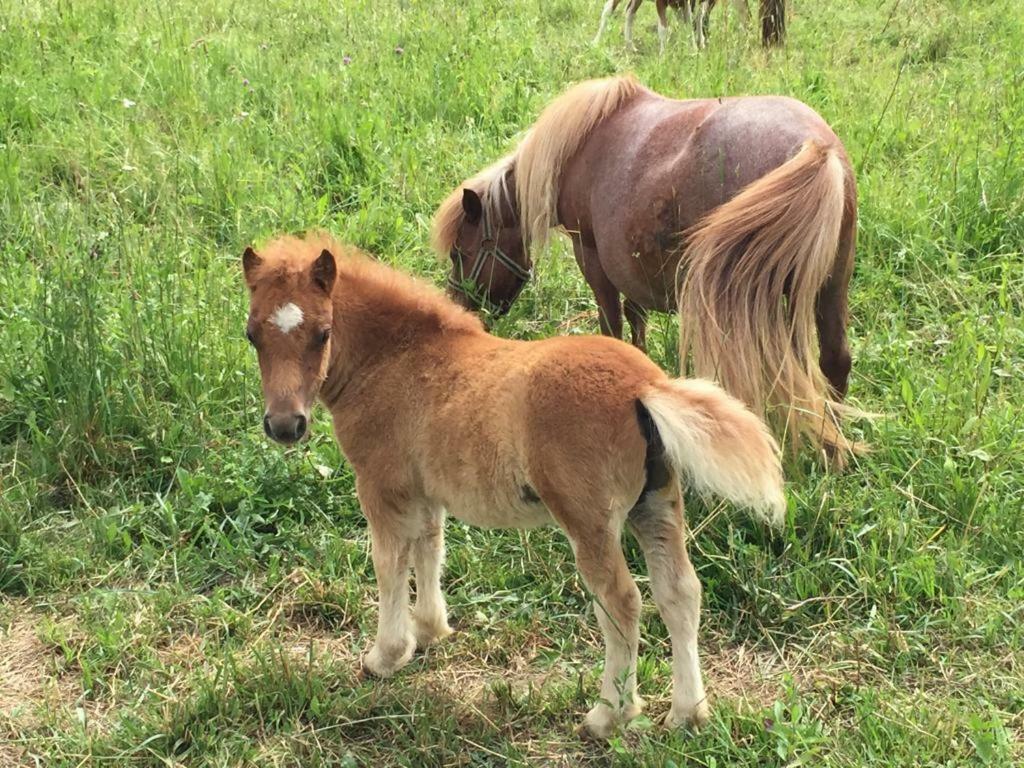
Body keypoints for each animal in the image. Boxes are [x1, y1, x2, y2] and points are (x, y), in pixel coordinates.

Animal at [432, 75, 856, 466]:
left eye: (460, 253)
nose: (459, 309)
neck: (577, 147)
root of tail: (815, 149)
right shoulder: (625, 265)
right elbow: (635, 319)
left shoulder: (592, 255)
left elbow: (612, 324)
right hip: (827, 287)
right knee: (831, 361)